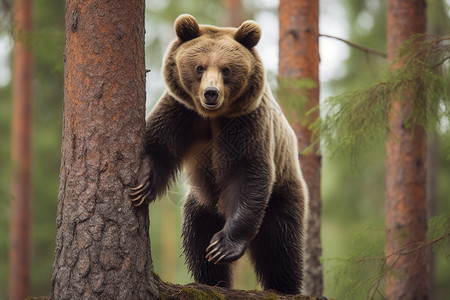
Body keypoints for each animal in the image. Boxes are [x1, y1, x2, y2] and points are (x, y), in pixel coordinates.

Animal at [128, 15, 308, 294]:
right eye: (200, 67)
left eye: (226, 69)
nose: (210, 93)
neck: (212, 116)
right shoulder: (182, 112)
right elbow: (159, 145)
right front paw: (143, 185)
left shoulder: (246, 124)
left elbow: (247, 173)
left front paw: (223, 247)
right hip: (202, 204)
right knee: (196, 239)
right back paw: (211, 281)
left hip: (283, 190)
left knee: (281, 245)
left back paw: (285, 287)